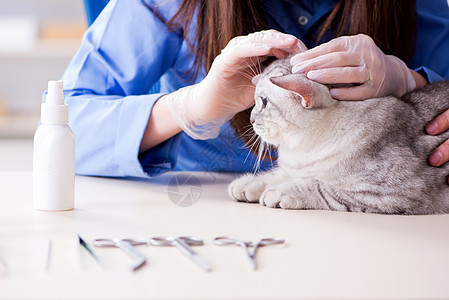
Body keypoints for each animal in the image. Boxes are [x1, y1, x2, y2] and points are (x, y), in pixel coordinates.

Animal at [229, 56, 448, 214]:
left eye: (264, 102)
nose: (250, 119)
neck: (302, 152)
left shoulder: (389, 193)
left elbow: (320, 187)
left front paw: (279, 192)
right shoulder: (292, 168)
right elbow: (276, 175)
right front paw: (247, 183)